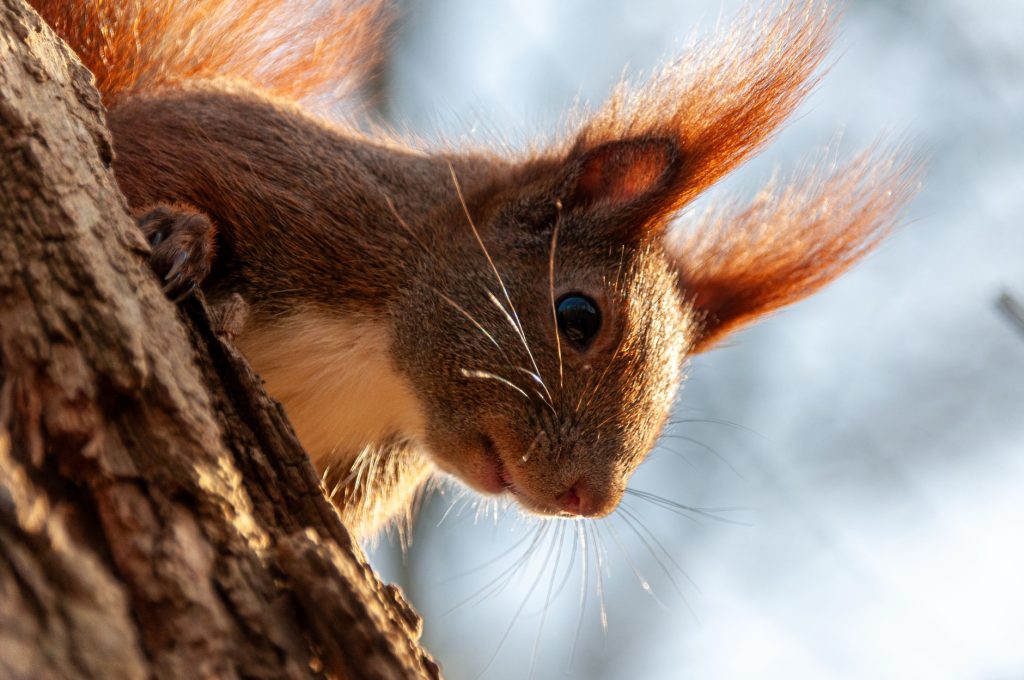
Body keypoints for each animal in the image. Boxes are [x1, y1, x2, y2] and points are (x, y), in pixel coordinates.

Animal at [31, 0, 916, 539]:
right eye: (578, 316)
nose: (587, 499)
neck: (375, 361)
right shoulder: (270, 170)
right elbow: (145, 162)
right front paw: (184, 234)